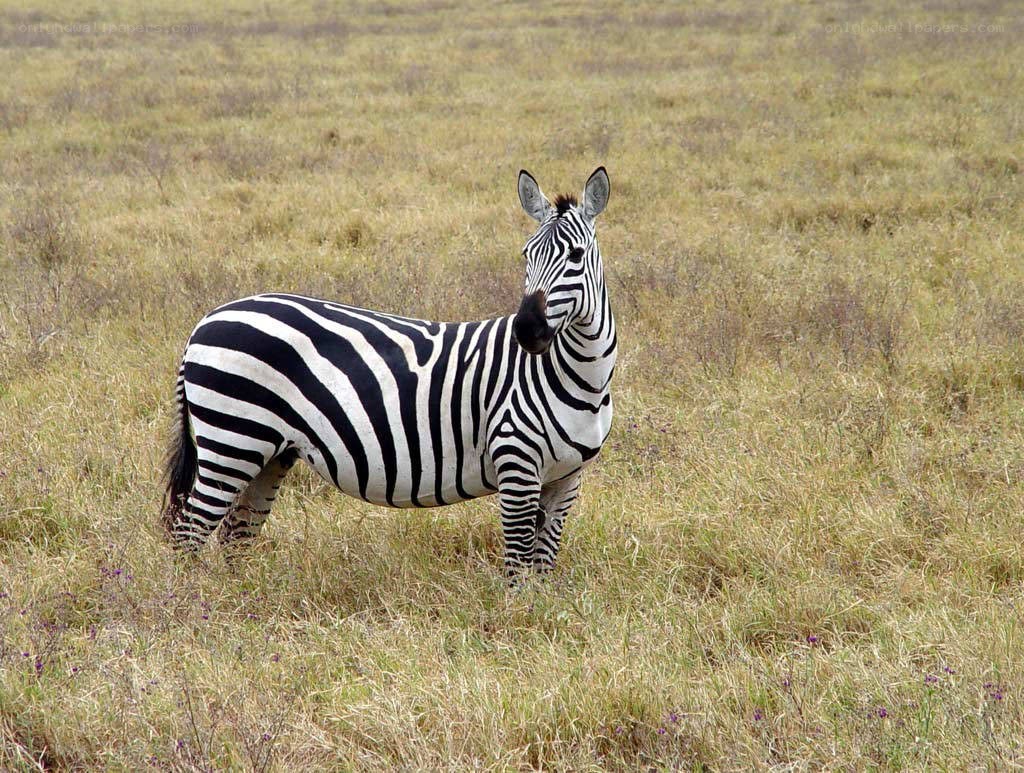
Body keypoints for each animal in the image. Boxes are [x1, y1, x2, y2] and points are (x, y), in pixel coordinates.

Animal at [162, 167, 616, 577]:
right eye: (526, 254)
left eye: (576, 256)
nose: (526, 330)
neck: (581, 378)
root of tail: (207, 320)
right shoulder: (515, 461)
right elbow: (519, 564)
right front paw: (516, 613)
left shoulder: (567, 478)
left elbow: (543, 562)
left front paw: (541, 608)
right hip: (231, 439)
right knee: (189, 533)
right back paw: (193, 606)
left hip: (268, 452)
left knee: (235, 535)